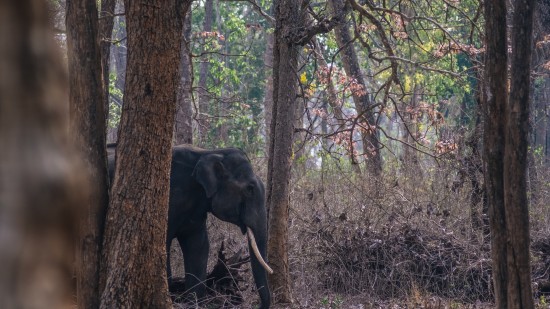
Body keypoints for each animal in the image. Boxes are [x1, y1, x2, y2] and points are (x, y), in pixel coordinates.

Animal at [106, 143, 272, 306]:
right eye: (250, 189)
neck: (210, 152)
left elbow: (198, 245)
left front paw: (193, 302)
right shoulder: (169, 197)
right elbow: (164, 243)